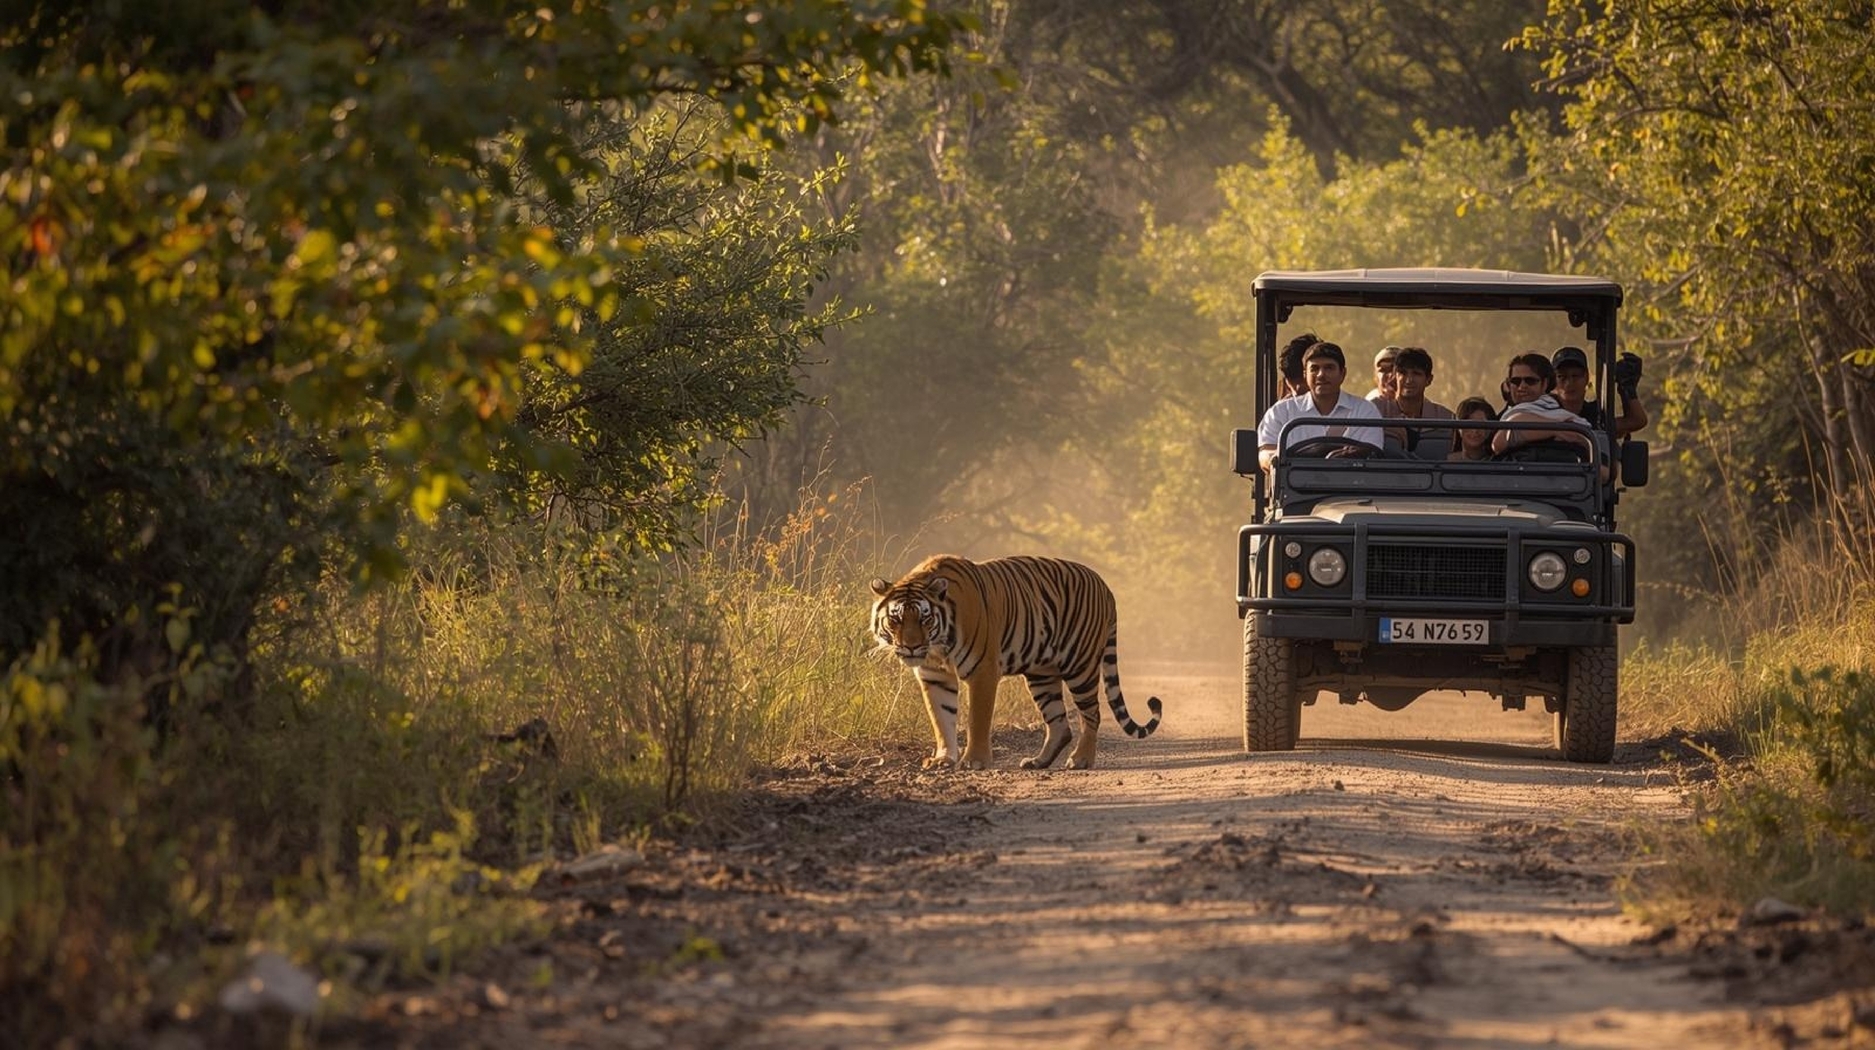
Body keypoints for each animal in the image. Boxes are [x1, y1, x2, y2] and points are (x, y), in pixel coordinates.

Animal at [869, 554, 1163, 770]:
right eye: (895, 619)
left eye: (925, 619)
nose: (911, 646)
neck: (937, 647)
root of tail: (1105, 585)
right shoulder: (934, 677)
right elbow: (941, 719)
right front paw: (942, 759)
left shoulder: (983, 672)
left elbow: (977, 719)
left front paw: (974, 761)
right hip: (1042, 675)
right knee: (1059, 724)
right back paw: (1038, 762)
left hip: (1080, 666)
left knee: (1092, 714)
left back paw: (1080, 760)